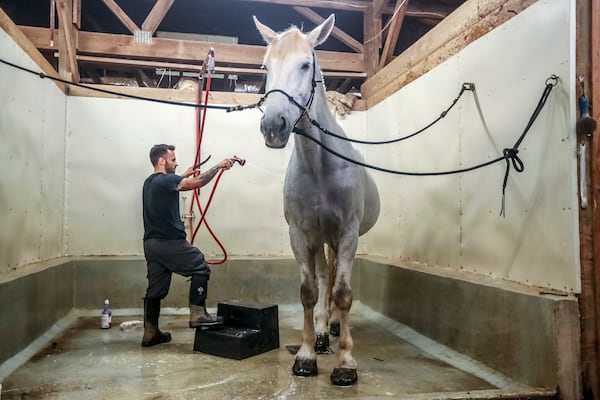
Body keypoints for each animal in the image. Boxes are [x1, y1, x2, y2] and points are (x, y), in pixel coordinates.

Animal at [253, 14, 380, 386]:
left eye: (305, 64)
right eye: (266, 66)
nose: (273, 125)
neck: (320, 165)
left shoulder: (347, 234)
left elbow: (344, 292)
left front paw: (346, 363)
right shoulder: (301, 234)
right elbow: (310, 291)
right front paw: (308, 354)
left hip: (338, 239)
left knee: (336, 278)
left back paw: (335, 326)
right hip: (320, 238)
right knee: (325, 276)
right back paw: (324, 332)